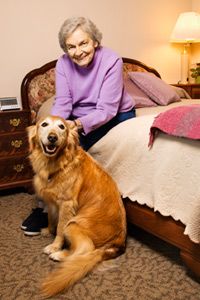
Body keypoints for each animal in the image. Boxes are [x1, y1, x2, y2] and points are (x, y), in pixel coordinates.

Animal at [27, 115, 126, 298]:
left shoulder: (66, 205)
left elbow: (59, 228)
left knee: (83, 251)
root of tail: (117, 245)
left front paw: (54, 245)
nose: (52, 137)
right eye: (44, 124)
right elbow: (51, 218)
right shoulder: (51, 201)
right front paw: (48, 230)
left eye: (62, 127)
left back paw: (59, 254)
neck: (57, 162)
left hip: (73, 225)